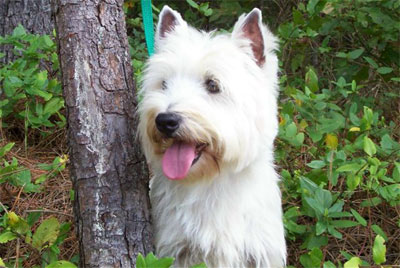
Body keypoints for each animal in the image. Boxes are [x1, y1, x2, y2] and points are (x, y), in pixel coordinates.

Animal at [139, 5, 286, 266]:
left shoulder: (262, 252)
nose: (165, 121)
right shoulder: (175, 249)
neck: (212, 183)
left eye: (213, 85)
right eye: (164, 84)